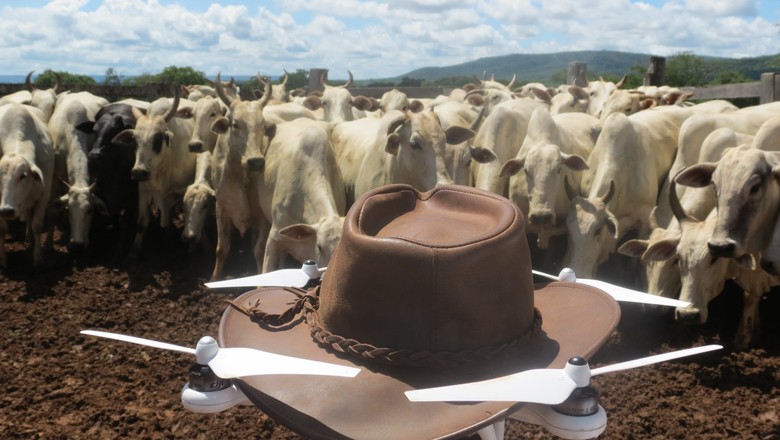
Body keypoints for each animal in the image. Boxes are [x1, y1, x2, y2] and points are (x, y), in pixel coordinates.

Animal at [0, 103, 54, 266]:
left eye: (23, 175)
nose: (6, 211)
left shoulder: (45, 192)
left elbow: (37, 224)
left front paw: (37, 257)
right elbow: (2, 228)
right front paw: (3, 260)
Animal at [46, 91, 109, 253]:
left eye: (90, 210)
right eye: (68, 210)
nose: (77, 244)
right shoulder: (54, 181)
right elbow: (52, 212)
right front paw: (49, 244)